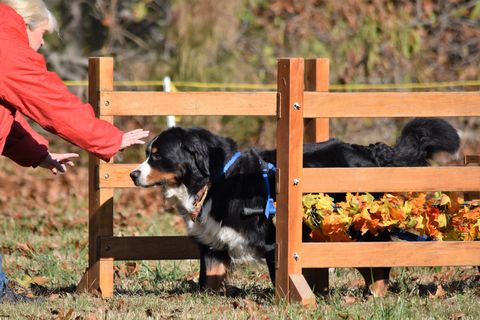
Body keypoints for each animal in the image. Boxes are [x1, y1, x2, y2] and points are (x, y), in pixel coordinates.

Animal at [129, 117, 460, 292]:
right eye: (148, 153)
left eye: (157, 155)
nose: (133, 174)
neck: (216, 179)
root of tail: (372, 151)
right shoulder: (212, 244)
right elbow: (209, 279)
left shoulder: (273, 242)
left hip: (359, 228)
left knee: (378, 262)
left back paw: (377, 295)